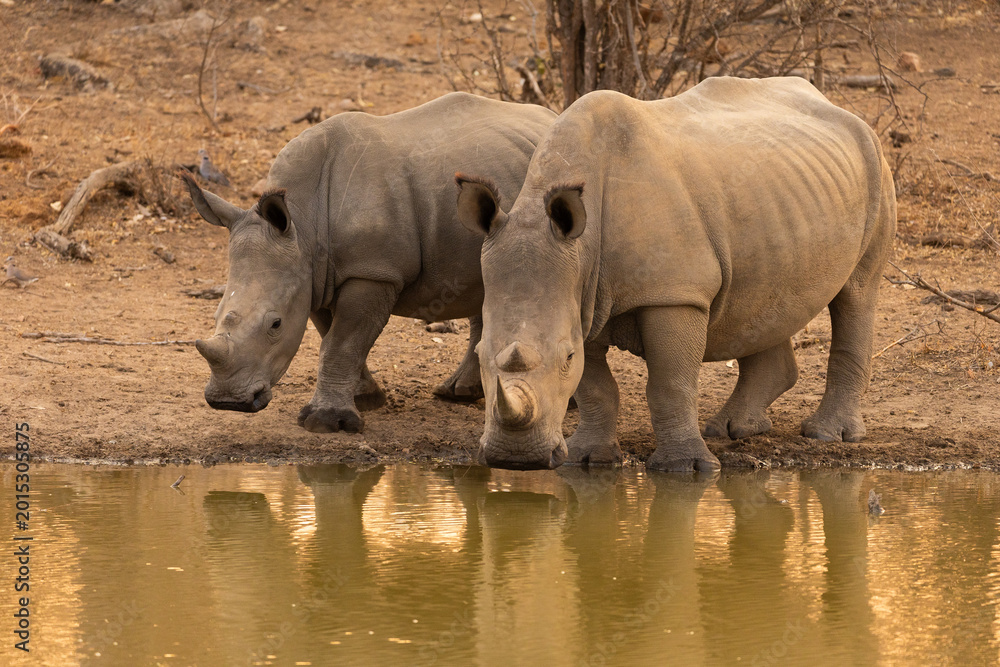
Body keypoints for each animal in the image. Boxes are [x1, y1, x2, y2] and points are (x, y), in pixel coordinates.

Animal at [182, 93, 556, 433]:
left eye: (275, 324)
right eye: (215, 316)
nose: (227, 401)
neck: (303, 224)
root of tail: (550, 115)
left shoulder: (373, 271)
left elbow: (342, 341)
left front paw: (327, 422)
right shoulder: (315, 275)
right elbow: (331, 335)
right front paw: (365, 399)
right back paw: (458, 394)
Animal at [456, 77, 896, 471]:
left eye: (565, 357)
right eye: (479, 354)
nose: (515, 459)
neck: (579, 250)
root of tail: (833, 103)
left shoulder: (675, 294)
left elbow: (670, 383)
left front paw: (685, 467)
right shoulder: (582, 299)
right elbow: (596, 387)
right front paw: (587, 458)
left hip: (875, 162)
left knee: (857, 293)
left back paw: (828, 435)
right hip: (783, 194)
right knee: (766, 299)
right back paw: (733, 430)